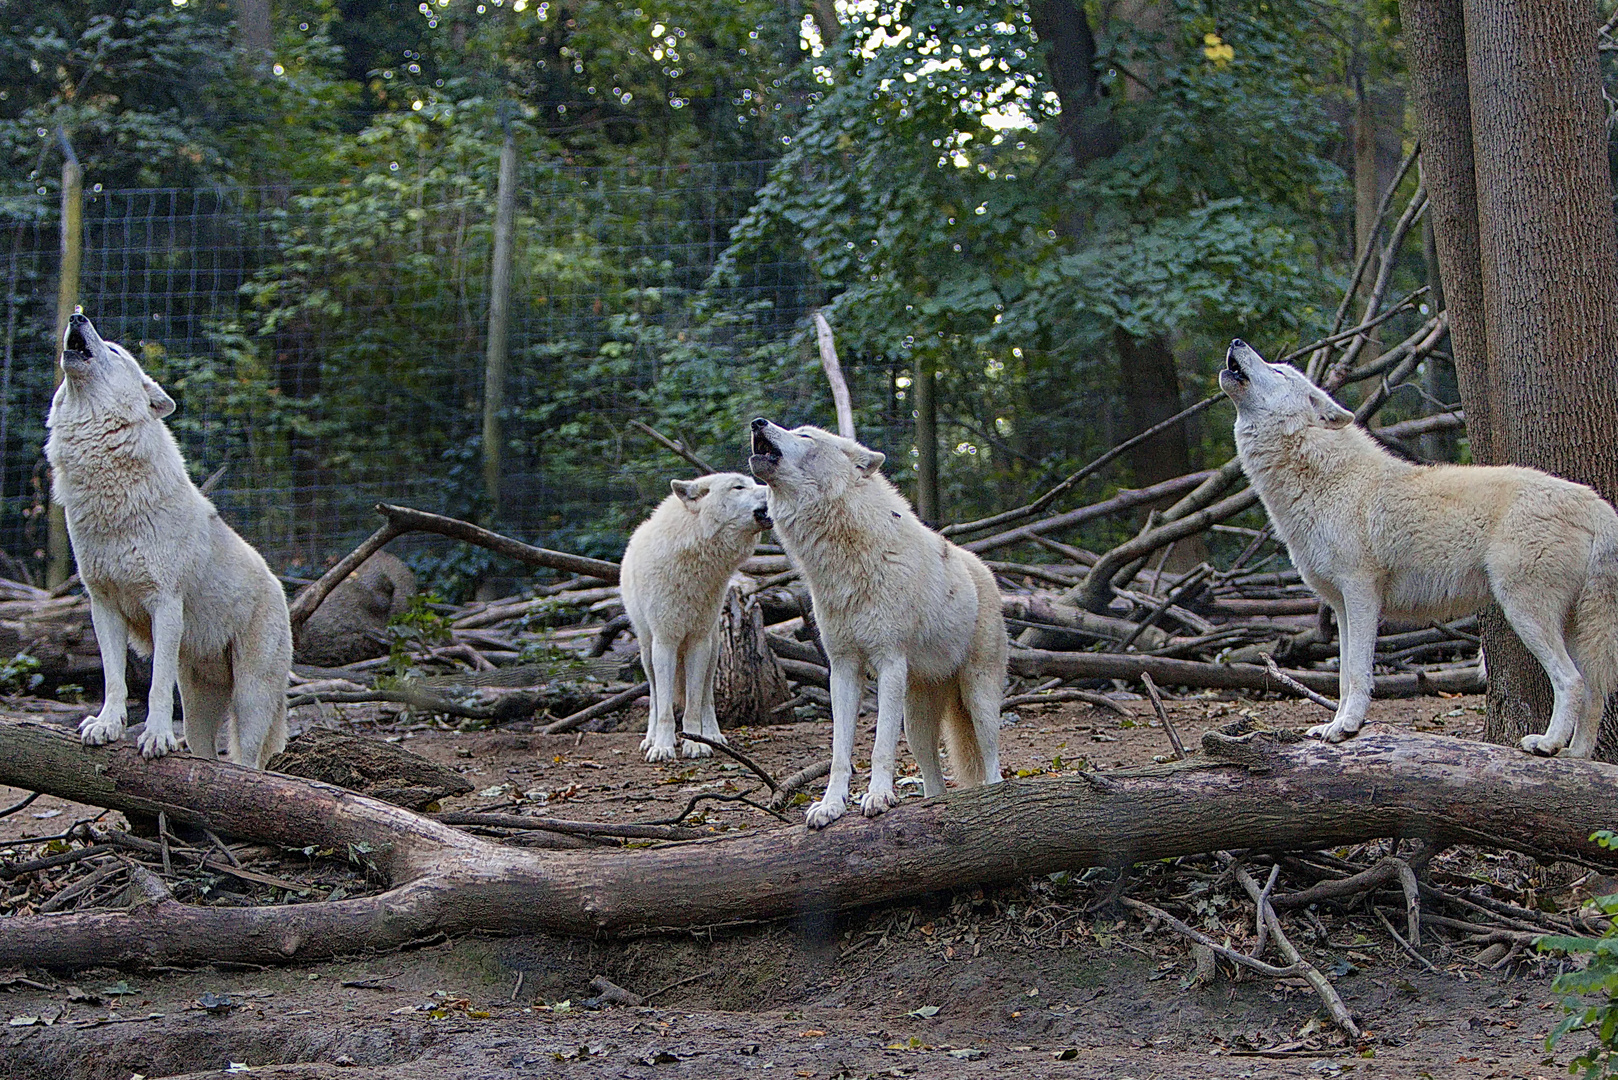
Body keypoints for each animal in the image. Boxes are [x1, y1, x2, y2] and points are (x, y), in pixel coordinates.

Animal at [43, 312, 291, 767]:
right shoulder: (102, 605)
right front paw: (107, 725)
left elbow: (156, 687)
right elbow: (114, 679)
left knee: (248, 762)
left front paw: (156, 736)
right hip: (198, 704)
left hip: (250, 699)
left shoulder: (166, 604)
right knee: (205, 752)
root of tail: (281, 588)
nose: (77, 315)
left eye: (114, 349)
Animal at [618, 469, 770, 761]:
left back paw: (713, 736)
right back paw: (650, 738)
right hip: (647, 649)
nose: (771, 488)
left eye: (754, 482)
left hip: (713, 647)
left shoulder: (698, 642)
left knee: (706, 697)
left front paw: (696, 743)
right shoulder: (665, 642)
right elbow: (665, 708)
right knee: (655, 696)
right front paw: (663, 746)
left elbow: (693, 704)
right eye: (738, 487)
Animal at [750, 417, 1003, 829]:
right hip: (917, 721)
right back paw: (934, 805)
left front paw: (879, 796)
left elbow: (881, 747)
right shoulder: (842, 668)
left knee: (993, 760)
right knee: (933, 779)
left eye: (805, 435)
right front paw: (831, 806)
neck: (844, 561)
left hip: (978, 695)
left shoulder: (890, 662)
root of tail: (982, 567)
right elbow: (840, 753)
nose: (758, 422)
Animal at [1216, 340, 1618, 761]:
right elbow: (1342, 676)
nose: (1237, 342)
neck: (1325, 478)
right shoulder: (1340, 606)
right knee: (1594, 689)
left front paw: (1347, 727)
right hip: (1569, 623)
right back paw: (1577, 757)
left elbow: (1357, 672)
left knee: (1572, 680)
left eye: (1279, 371)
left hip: (1525, 612)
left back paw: (1547, 744)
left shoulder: (1361, 593)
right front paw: (1332, 725)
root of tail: (1598, 505)